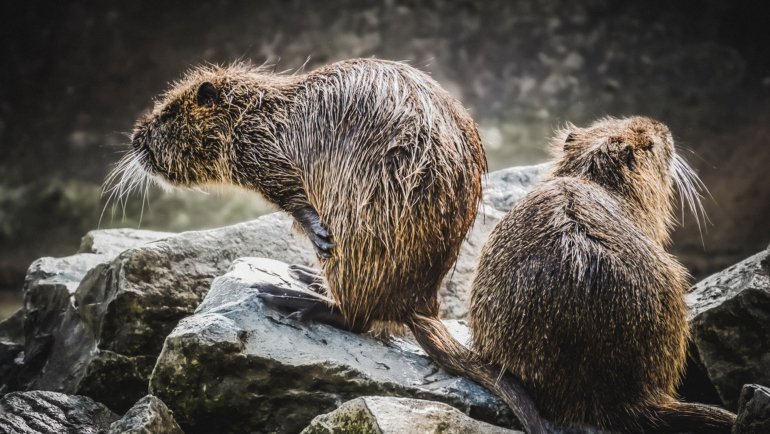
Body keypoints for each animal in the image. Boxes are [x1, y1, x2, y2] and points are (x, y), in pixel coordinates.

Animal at [108, 58, 548, 434]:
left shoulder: (262, 152)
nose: (136, 137)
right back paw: (304, 279)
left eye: (169, 113)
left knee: (357, 318)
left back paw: (287, 296)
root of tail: (418, 306)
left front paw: (318, 233)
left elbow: (293, 195)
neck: (259, 112)